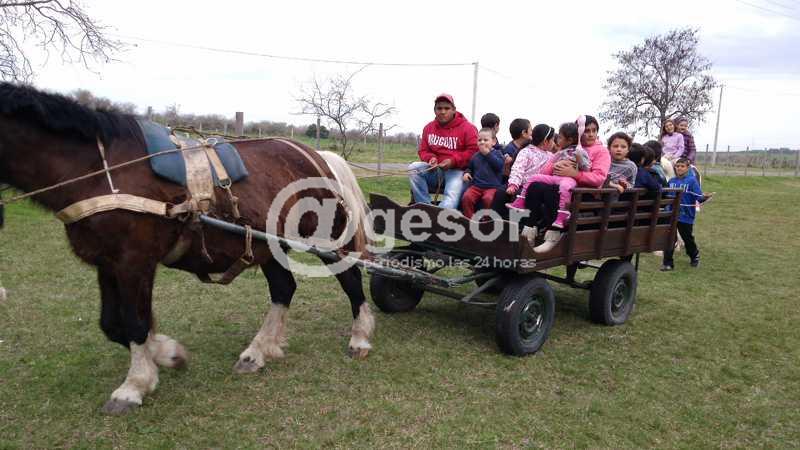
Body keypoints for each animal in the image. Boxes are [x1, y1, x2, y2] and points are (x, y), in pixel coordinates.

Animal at [0, 83, 375, 415]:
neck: (99, 171)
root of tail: (317, 155)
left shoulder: (135, 262)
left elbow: (134, 322)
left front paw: (134, 385)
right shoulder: (107, 263)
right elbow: (112, 324)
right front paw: (167, 354)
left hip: (327, 239)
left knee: (351, 280)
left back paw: (359, 337)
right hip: (270, 245)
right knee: (284, 289)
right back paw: (258, 350)